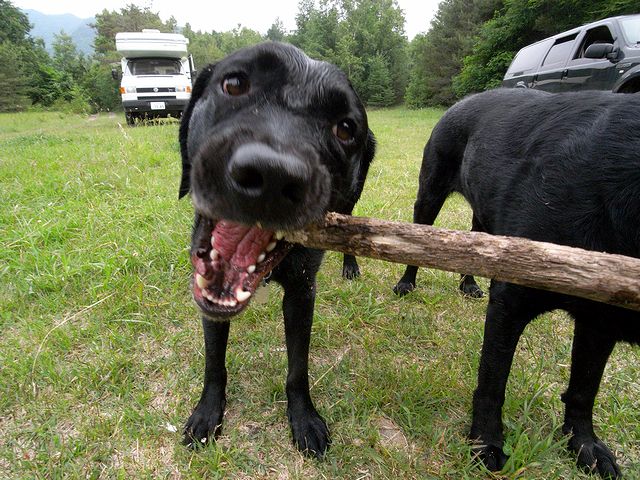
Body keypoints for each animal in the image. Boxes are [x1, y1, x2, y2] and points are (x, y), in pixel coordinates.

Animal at [178, 42, 376, 458]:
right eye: (234, 84)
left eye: (345, 128)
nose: (271, 175)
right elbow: (214, 360)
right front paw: (207, 413)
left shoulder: (302, 293)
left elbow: (298, 367)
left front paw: (304, 418)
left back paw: (350, 266)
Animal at [392, 88, 636, 478]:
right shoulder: (511, 304)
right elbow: (492, 383)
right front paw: (486, 444)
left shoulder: (601, 320)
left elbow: (584, 388)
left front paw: (584, 444)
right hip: (429, 193)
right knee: (419, 237)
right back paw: (406, 283)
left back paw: (469, 285)